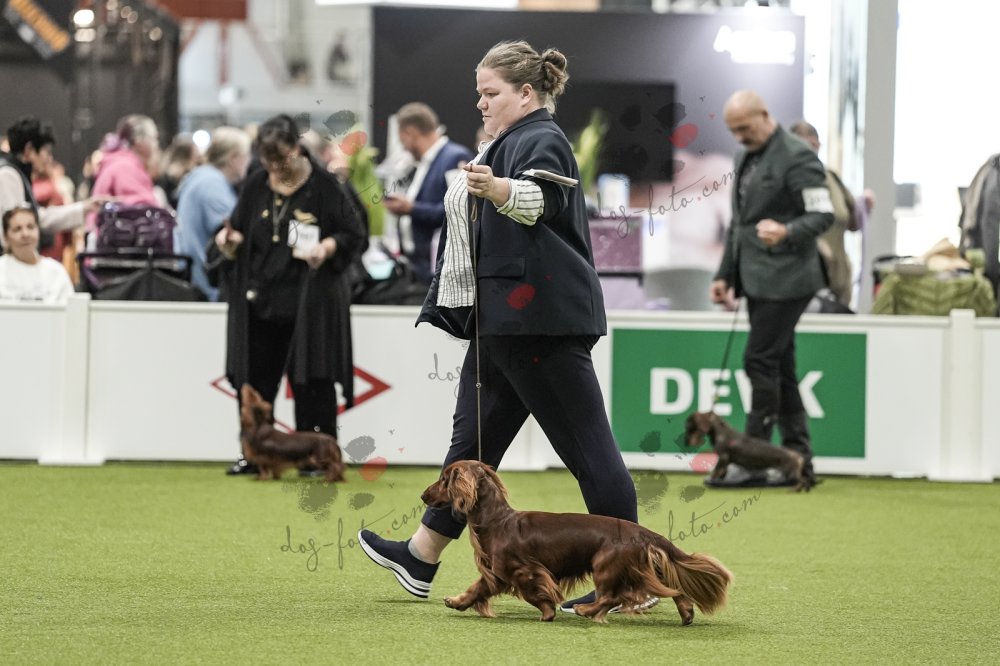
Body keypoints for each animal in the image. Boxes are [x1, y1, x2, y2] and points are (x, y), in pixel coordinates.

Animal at [420, 460, 733, 624]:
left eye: (445, 479)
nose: (423, 496)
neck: (498, 520)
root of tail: (640, 531)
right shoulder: (496, 573)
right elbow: (476, 589)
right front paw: (456, 601)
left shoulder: (521, 570)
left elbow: (536, 593)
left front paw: (547, 613)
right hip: (638, 569)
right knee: (673, 588)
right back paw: (687, 613)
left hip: (605, 565)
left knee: (612, 597)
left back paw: (585, 610)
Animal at [684, 411, 813, 492]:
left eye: (690, 427)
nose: (686, 442)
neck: (721, 432)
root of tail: (798, 457)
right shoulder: (725, 460)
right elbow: (722, 472)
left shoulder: (723, 457)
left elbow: (716, 471)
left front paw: (712, 481)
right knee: (805, 481)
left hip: (790, 473)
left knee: (802, 481)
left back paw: (794, 489)